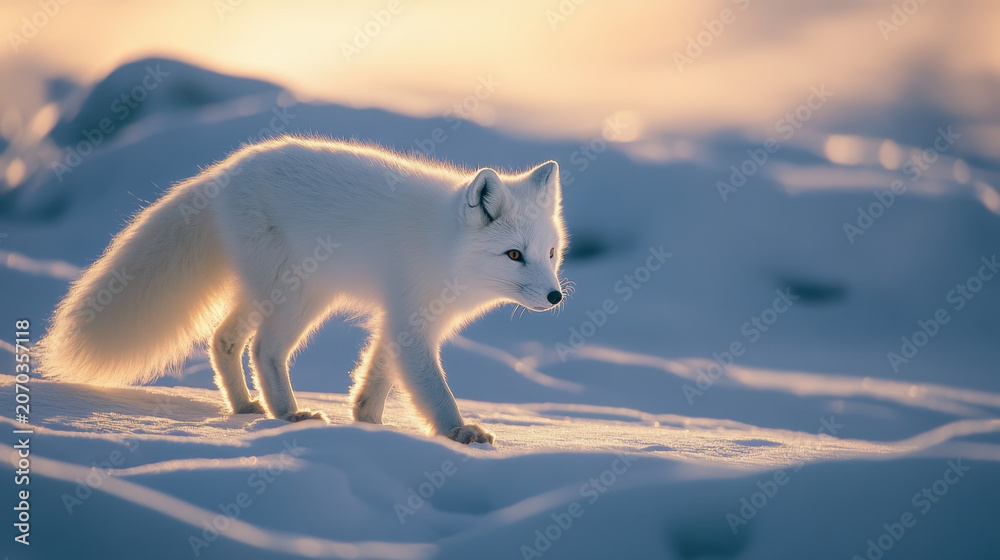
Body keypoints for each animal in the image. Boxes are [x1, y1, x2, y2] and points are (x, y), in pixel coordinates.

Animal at [37, 136, 568, 444]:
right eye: (513, 255)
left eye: (550, 254)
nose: (555, 298)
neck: (443, 246)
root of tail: (223, 172)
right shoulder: (411, 323)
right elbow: (433, 391)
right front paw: (459, 432)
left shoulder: (404, 321)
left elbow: (375, 380)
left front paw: (370, 426)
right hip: (296, 296)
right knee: (263, 349)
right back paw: (288, 415)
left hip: (284, 295)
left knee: (224, 339)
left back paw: (246, 408)